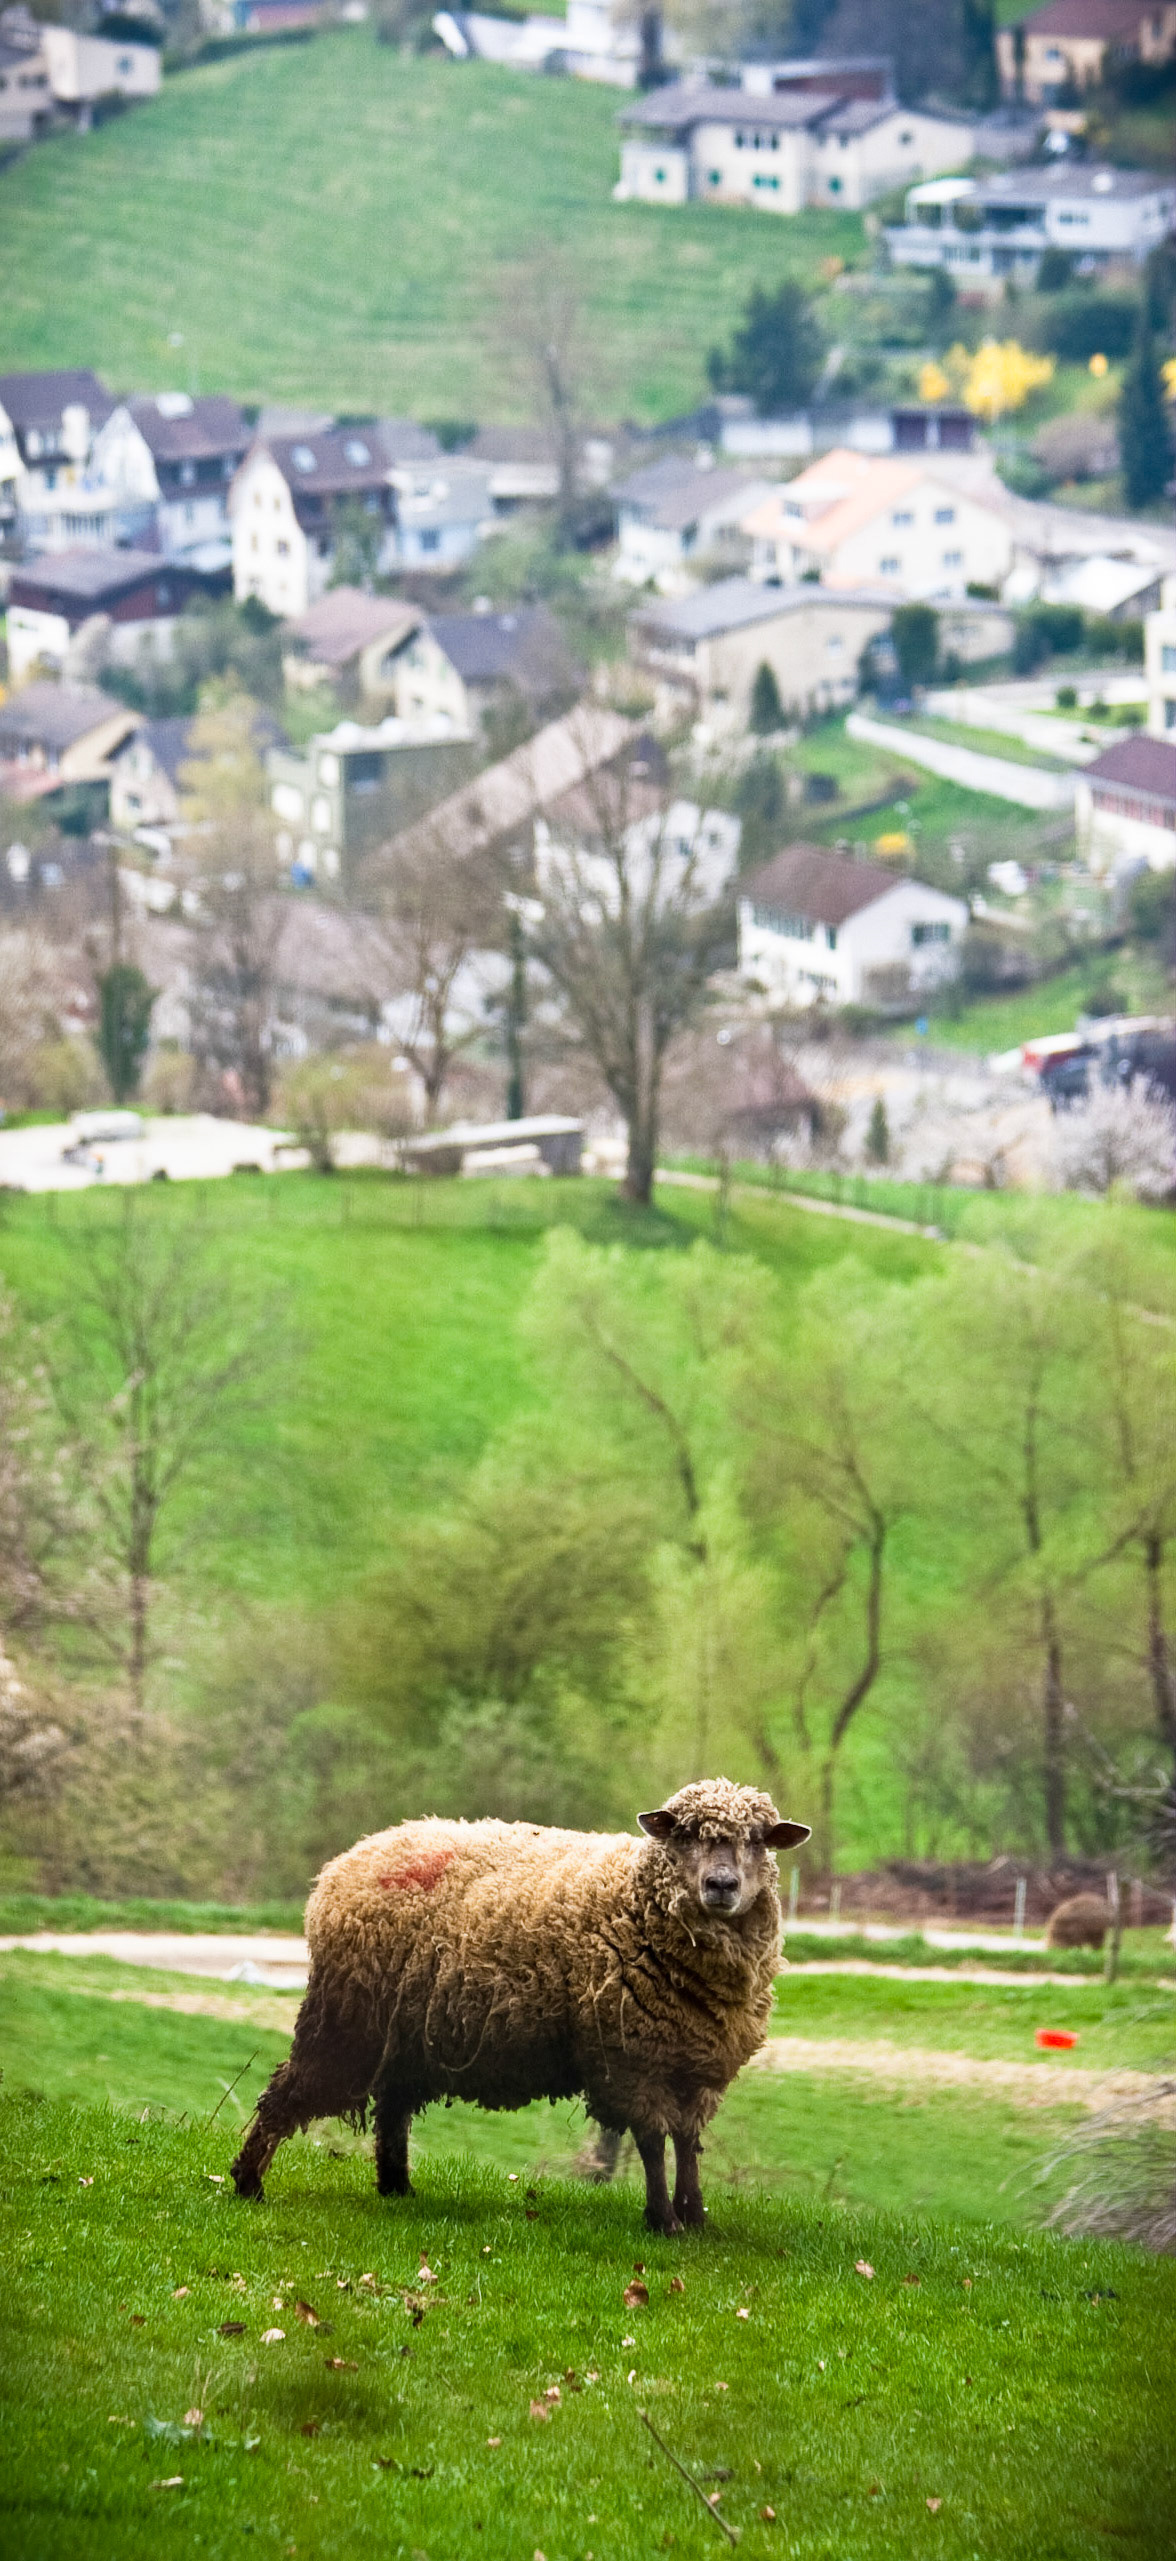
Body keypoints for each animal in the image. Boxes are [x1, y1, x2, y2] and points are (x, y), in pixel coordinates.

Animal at [231, 1777, 810, 2234]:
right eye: (684, 1835)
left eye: (759, 1839)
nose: (721, 1885)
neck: (636, 1900)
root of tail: (345, 1863)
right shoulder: (631, 2058)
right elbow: (651, 2141)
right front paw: (662, 2220)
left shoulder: (699, 2064)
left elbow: (688, 2142)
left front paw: (694, 2216)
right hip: (347, 2021)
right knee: (286, 2093)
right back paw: (247, 2182)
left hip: (405, 2033)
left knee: (392, 2109)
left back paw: (397, 2188)